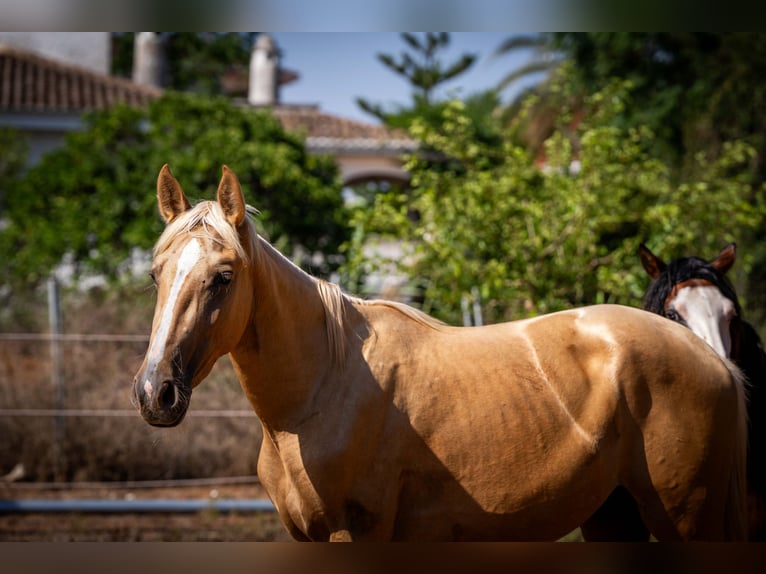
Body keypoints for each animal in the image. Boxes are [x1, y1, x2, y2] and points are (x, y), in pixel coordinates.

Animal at [132, 165, 752, 540]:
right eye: (156, 273)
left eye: (223, 277)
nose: (155, 392)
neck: (321, 393)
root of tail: (713, 358)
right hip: (614, 515)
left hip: (686, 518)